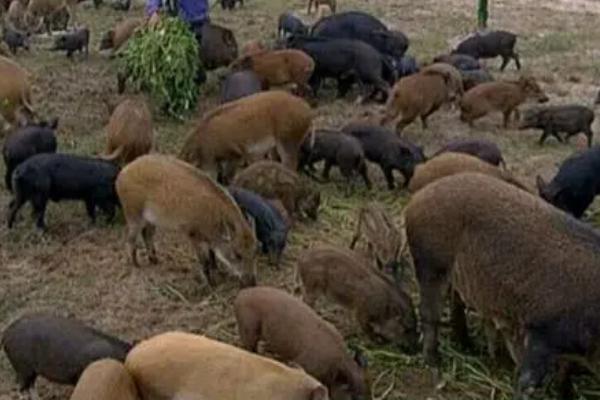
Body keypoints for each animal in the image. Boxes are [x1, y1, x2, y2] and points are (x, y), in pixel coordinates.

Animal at [115, 154, 258, 288]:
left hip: (151, 220)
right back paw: (136, 265)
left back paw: (155, 260)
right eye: (237, 255)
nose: (252, 283)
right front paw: (211, 284)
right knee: (131, 239)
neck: (215, 216)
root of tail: (121, 174)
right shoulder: (193, 235)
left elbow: (212, 255)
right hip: (133, 215)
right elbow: (204, 261)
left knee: (147, 234)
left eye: (254, 251)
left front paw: (217, 272)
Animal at [179, 90, 312, 178]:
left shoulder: (234, 154)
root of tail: (308, 110)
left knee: (291, 164)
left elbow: (226, 176)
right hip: (276, 147)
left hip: (287, 139)